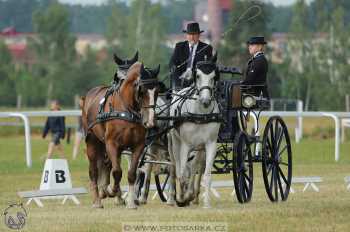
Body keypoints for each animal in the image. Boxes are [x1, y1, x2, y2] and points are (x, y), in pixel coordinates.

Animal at [82, 62, 160, 209]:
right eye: (142, 91)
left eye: (157, 92)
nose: (150, 122)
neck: (126, 109)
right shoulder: (111, 144)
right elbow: (117, 172)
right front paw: (111, 190)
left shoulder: (138, 146)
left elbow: (131, 173)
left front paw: (130, 203)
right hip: (92, 142)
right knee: (94, 171)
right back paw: (97, 200)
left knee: (107, 165)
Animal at [168, 54, 220, 208]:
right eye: (197, 75)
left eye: (214, 76)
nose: (205, 101)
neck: (200, 115)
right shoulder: (185, 145)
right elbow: (182, 172)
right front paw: (182, 198)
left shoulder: (210, 144)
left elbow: (206, 174)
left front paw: (206, 203)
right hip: (175, 142)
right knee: (176, 167)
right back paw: (174, 198)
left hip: (199, 148)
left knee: (195, 168)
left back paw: (193, 196)